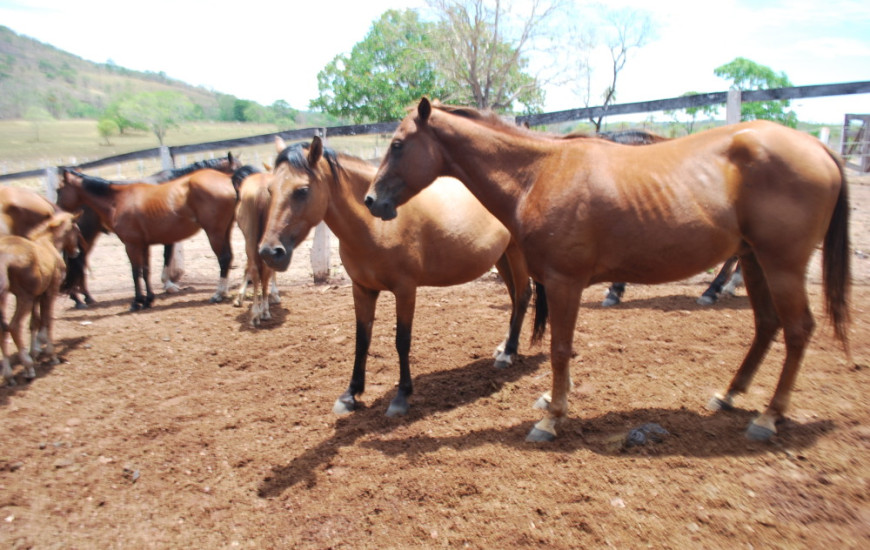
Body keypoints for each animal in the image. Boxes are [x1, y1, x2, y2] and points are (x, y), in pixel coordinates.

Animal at [0, 211, 80, 388]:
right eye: (76, 230)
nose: (76, 252)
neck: (48, 242)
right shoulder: (50, 291)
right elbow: (47, 320)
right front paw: (51, 355)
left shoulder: (38, 295)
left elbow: (34, 322)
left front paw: (35, 352)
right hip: (24, 297)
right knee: (14, 326)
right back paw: (28, 368)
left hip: (6, 298)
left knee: (3, 329)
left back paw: (9, 375)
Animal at [57, 164, 237, 312]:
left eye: (59, 190)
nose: (59, 213)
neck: (117, 200)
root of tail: (228, 179)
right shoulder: (143, 245)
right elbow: (145, 271)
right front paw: (148, 300)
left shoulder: (131, 245)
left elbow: (136, 272)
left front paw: (137, 302)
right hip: (224, 231)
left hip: (214, 232)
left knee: (224, 258)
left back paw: (218, 294)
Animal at [233, 166, 282, 326]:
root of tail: (261, 191)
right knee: (263, 270)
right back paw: (263, 311)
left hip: (250, 238)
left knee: (256, 269)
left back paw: (257, 313)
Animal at [255, 138, 536, 418]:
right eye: (269, 190)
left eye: (302, 190)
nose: (270, 252)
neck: (377, 223)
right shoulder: (362, 289)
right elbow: (362, 340)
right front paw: (350, 394)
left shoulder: (405, 290)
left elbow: (402, 340)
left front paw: (401, 396)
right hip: (501, 257)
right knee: (514, 299)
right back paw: (504, 347)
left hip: (517, 254)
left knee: (523, 296)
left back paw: (508, 354)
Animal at [366, 99, 852, 444]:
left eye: (397, 144)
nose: (372, 201)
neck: (537, 174)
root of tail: (818, 147)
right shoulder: (560, 283)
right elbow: (562, 348)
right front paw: (554, 399)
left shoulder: (565, 281)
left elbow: (560, 348)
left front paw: (552, 419)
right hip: (754, 261)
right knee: (767, 324)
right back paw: (729, 395)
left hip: (782, 265)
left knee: (797, 329)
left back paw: (769, 417)